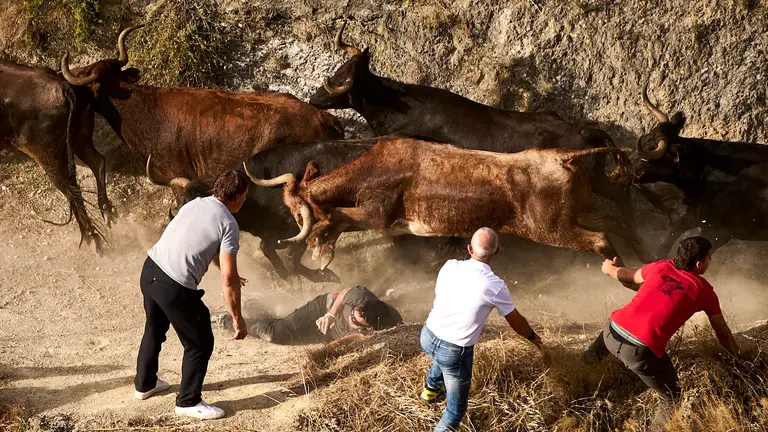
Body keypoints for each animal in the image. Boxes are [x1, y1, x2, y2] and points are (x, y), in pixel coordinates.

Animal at [0, 59, 110, 250]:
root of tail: (65, 87)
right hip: (80, 140)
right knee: (98, 162)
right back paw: (107, 212)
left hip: (48, 159)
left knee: (72, 190)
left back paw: (91, 238)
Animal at [146, 140, 376, 283]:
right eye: (182, 205)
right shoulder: (272, 234)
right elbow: (268, 249)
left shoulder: (299, 232)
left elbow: (291, 260)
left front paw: (323, 276)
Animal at [252, 137, 649, 289]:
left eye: (296, 211)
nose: (296, 231)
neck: (372, 168)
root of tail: (564, 157)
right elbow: (337, 222)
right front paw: (324, 253)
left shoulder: (377, 215)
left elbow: (341, 217)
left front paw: (322, 251)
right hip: (580, 211)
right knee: (619, 223)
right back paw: (645, 261)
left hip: (552, 228)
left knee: (601, 238)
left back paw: (625, 277)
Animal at [633, 83, 768, 257]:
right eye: (647, 137)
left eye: (652, 153)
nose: (630, 167)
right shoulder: (694, 215)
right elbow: (671, 234)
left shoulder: (719, 231)